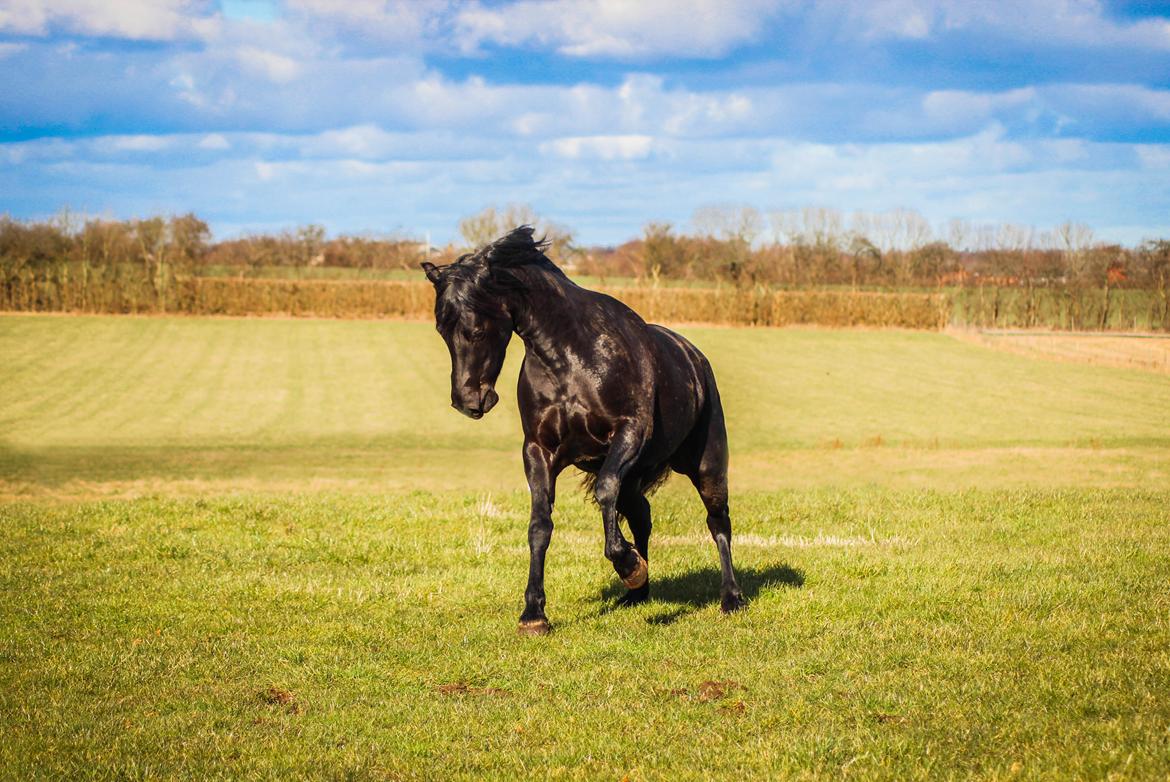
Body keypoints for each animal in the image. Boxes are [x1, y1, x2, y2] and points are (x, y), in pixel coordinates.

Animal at [425, 225, 744, 636]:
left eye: (475, 330)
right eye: (441, 329)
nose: (467, 401)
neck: (570, 359)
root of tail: (694, 357)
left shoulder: (628, 435)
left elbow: (604, 490)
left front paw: (626, 563)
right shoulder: (538, 450)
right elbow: (540, 525)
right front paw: (534, 614)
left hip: (706, 466)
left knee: (718, 521)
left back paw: (730, 597)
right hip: (636, 477)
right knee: (641, 516)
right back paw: (638, 591)